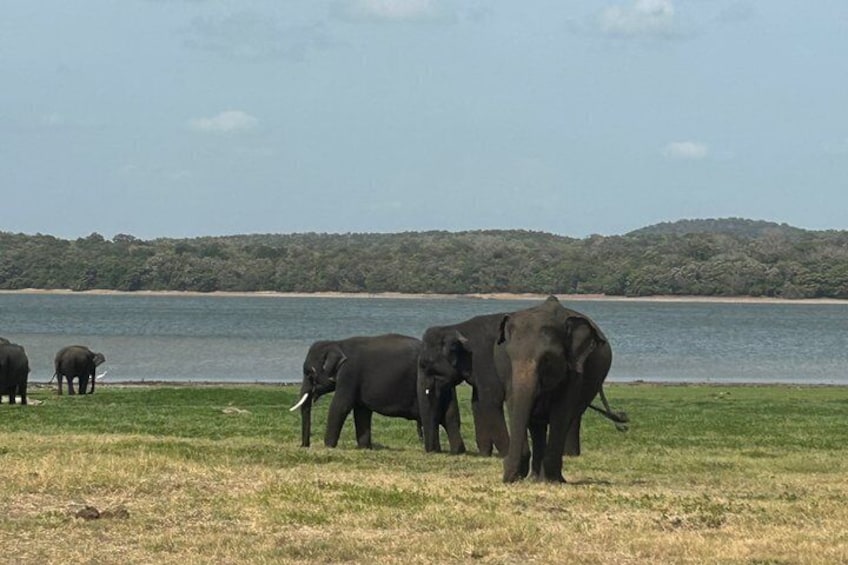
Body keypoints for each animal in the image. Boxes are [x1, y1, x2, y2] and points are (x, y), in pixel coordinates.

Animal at [290, 334, 466, 453]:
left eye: (309, 373)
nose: (304, 445)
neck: (338, 343)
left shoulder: (349, 374)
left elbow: (341, 406)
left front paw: (328, 446)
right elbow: (361, 411)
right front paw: (364, 448)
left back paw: (434, 450)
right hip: (448, 387)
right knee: (451, 417)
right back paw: (457, 451)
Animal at [418, 313, 511, 455]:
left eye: (425, 364)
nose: (433, 450)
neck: (456, 327)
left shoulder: (486, 361)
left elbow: (490, 400)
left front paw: (506, 453)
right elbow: (477, 403)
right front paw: (484, 453)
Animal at [494, 296, 627, 483]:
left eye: (547, 359)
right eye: (509, 355)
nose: (508, 477)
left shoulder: (575, 369)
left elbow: (561, 410)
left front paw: (550, 481)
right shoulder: (507, 373)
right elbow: (515, 405)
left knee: (566, 419)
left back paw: (550, 478)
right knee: (537, 425)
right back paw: (534, 478)